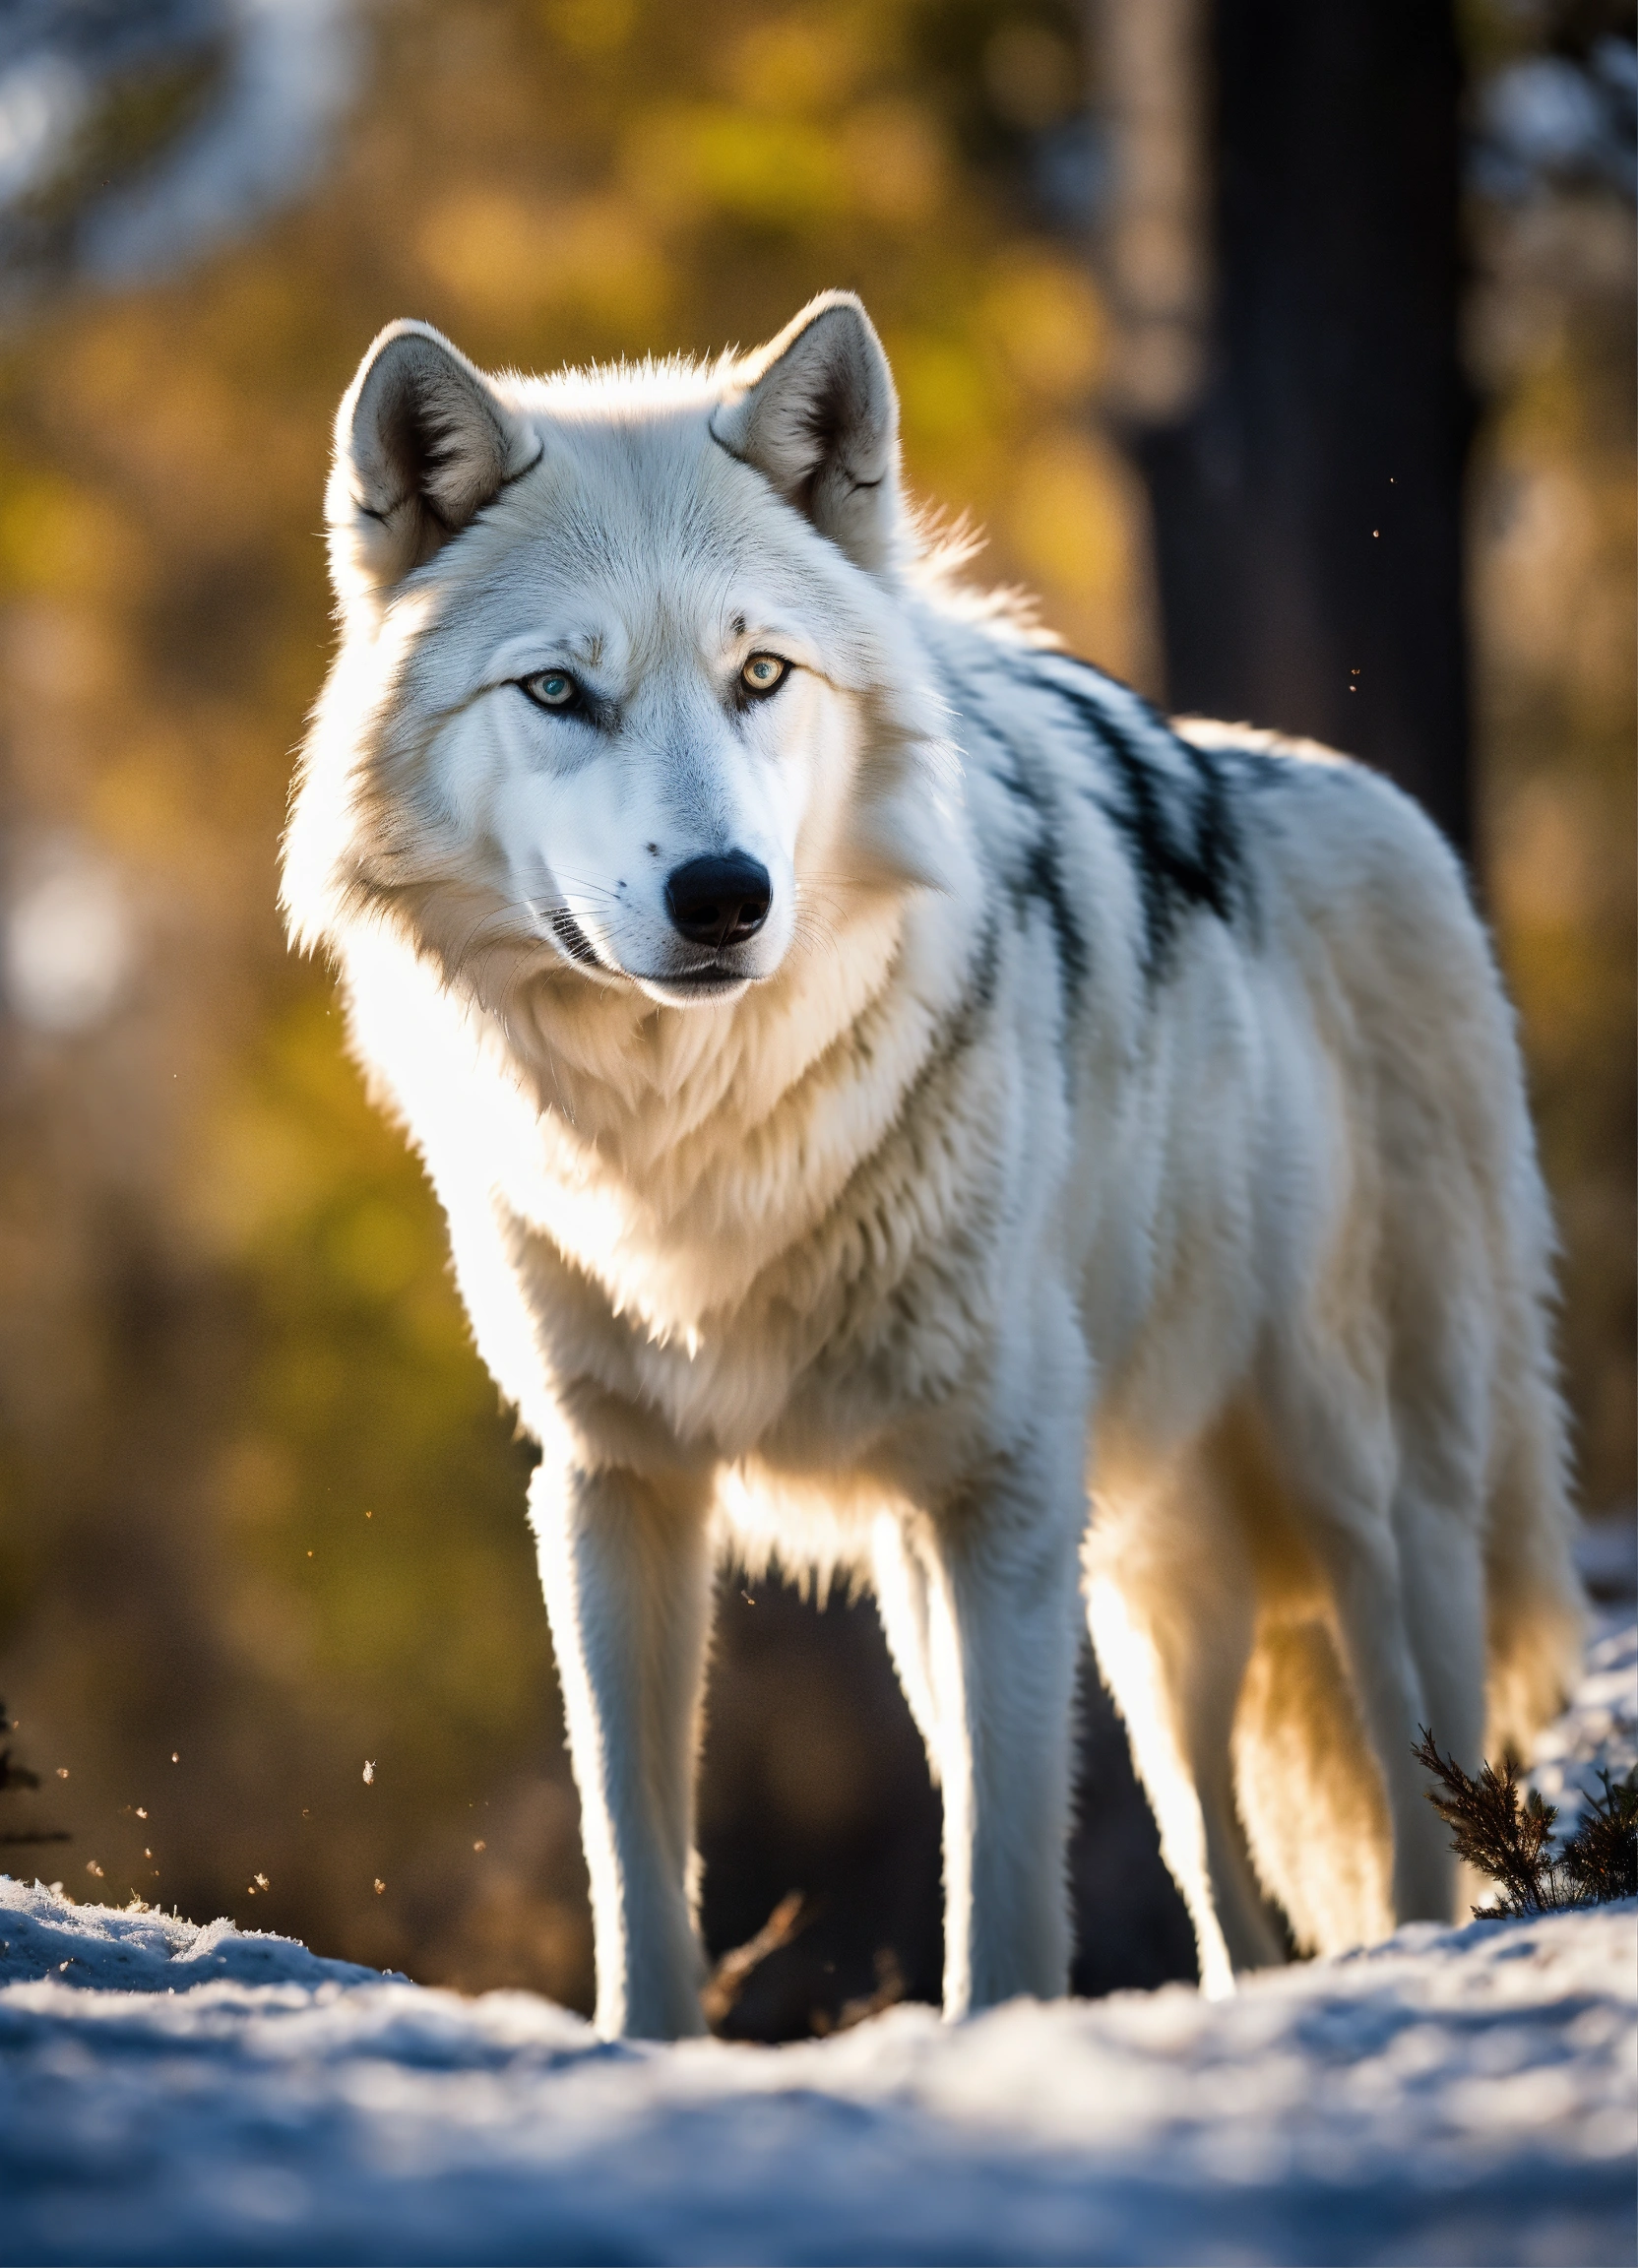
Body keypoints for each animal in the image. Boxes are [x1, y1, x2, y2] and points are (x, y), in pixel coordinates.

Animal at [283, 293, 1582, 2038]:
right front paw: (649, 2054)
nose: (722, 897)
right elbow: (638, 1849)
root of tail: (1381, 813)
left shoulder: (1002, 1492)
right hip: (1130, 1595)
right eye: (559, 692)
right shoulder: (617, 1488)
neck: (705, 1142)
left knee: (1422, 1794)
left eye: (762, 672)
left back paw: (1429, 1974)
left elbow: (1004, 1873)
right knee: (1215, 1868)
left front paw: (1003, 2040)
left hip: (1354, 1495)